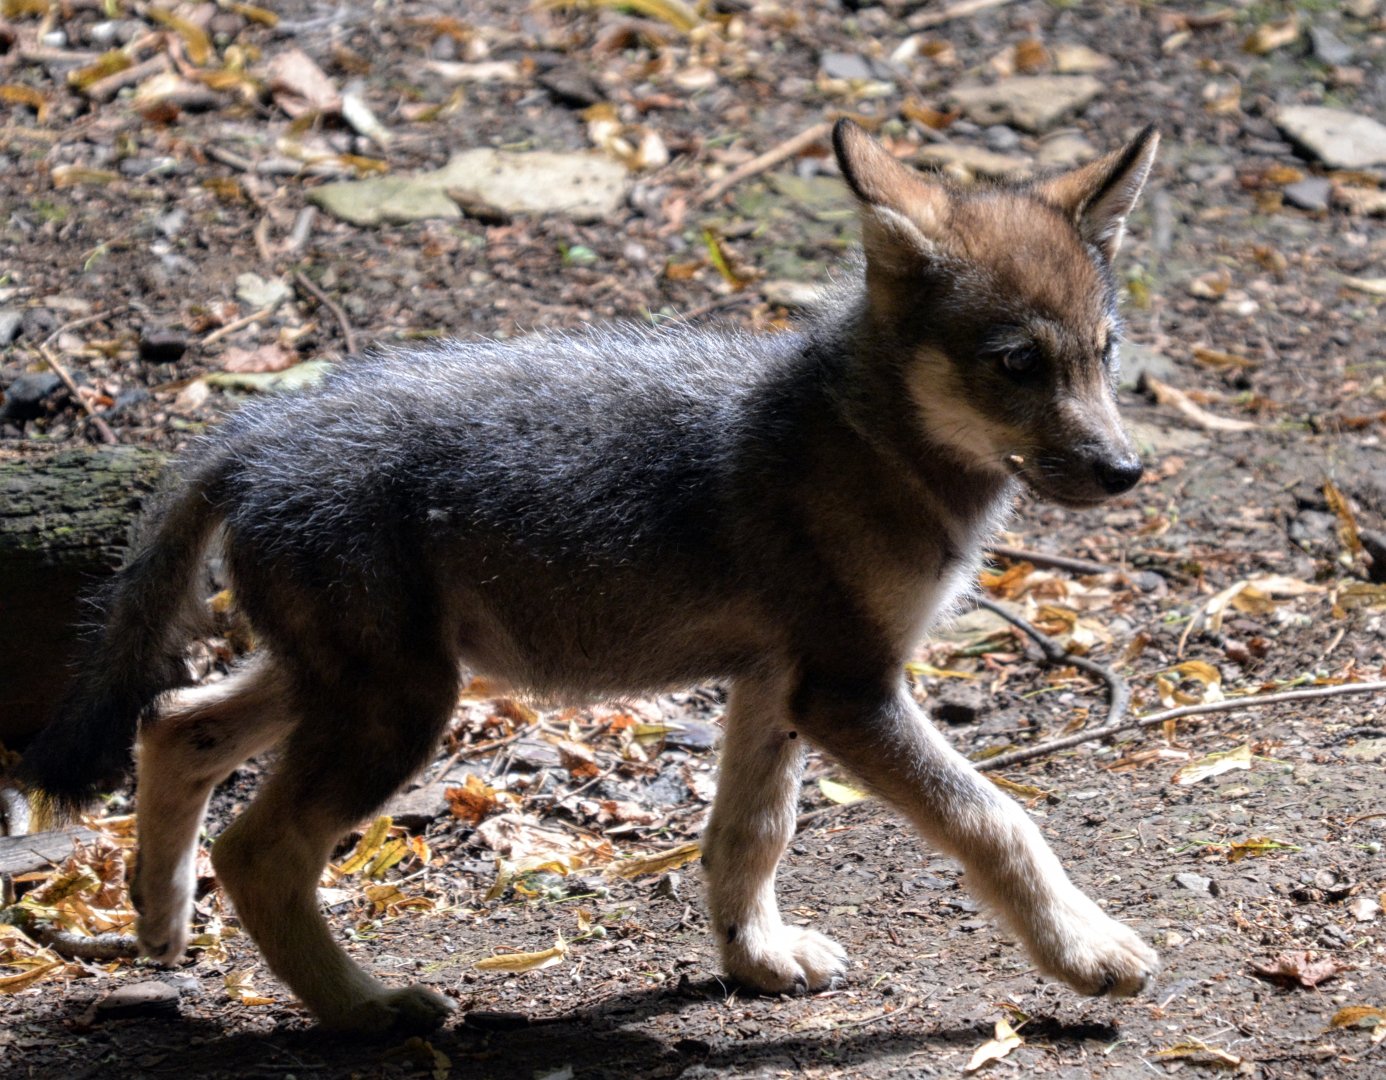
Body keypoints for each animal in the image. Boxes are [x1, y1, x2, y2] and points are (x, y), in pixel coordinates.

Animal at [15, 119, 1160, 1032]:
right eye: (1017, 363)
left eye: (1105, 354)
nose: (1125, 470)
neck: (868, 437)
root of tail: (261, 427)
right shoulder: (846, 690)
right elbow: (999, 820)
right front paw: (1088, 953)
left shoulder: (775, 684)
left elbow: (749, 836)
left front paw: (757, 960)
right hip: (399, 708)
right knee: (257, 847)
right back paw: (366, 1010)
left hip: (349, 684)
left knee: (175, 722)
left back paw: (159, 923)